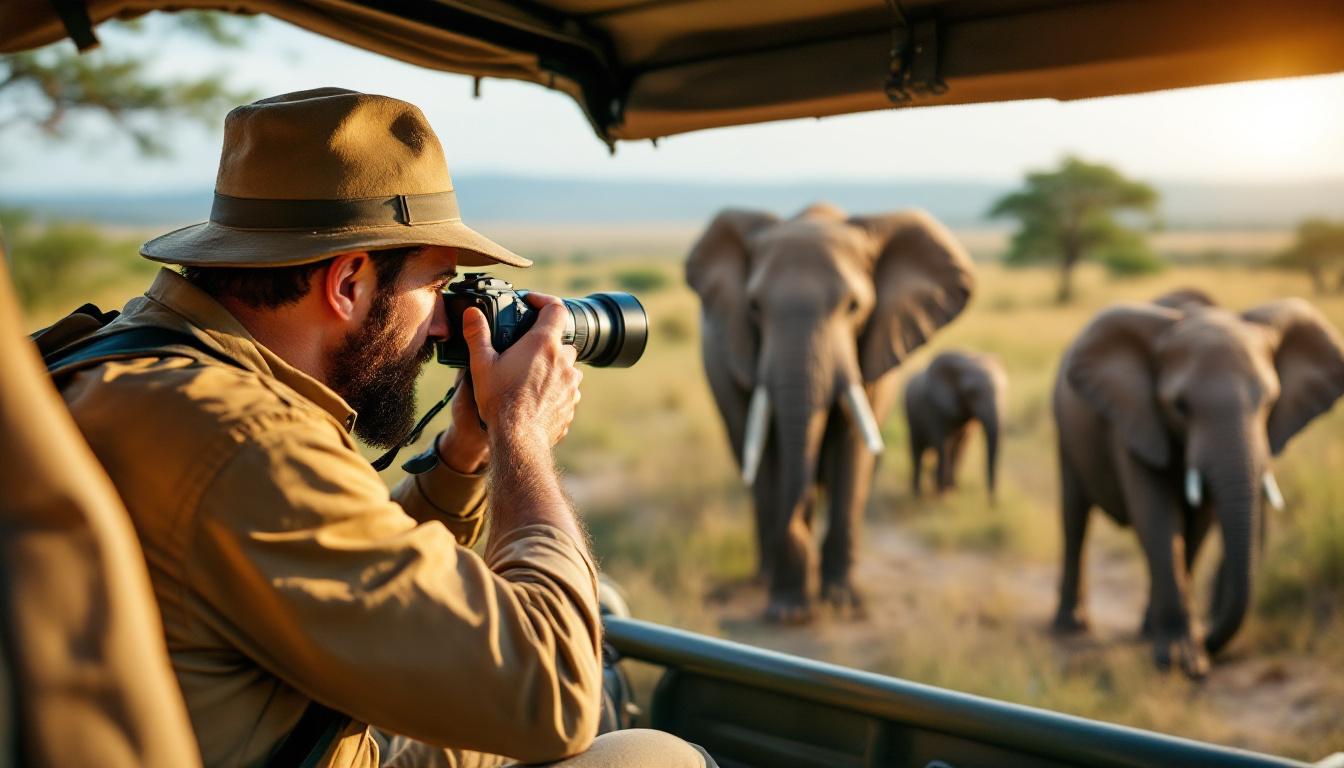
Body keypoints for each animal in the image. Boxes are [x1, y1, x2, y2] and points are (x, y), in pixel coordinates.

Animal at [688, 201, 973, 621]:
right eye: (754, 307)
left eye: (853, 307)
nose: (795, 534)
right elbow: (772, 454)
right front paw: (789, 610)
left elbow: (851, 450)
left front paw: (842, 603)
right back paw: (766, 575)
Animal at [903, 349, 1010, 505]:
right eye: (971, 393)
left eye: (1005, 390)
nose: (992, 505)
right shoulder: (936, 409)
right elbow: (943, 445)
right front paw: (943, 496)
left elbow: (961, 448)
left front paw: (951, 492)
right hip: (911, 417)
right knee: (917, 449)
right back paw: (917, 493)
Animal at [1048, 290, 1344, 677]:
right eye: (1180, 405)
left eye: (1269, 402)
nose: (1210, 637)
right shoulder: (1134, 416)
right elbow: (1157, 516)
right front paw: (1181, 663)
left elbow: (1199, 522)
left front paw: (1160, 638)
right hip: (1064, 431)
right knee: (1074, 517)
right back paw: (1069, 625)